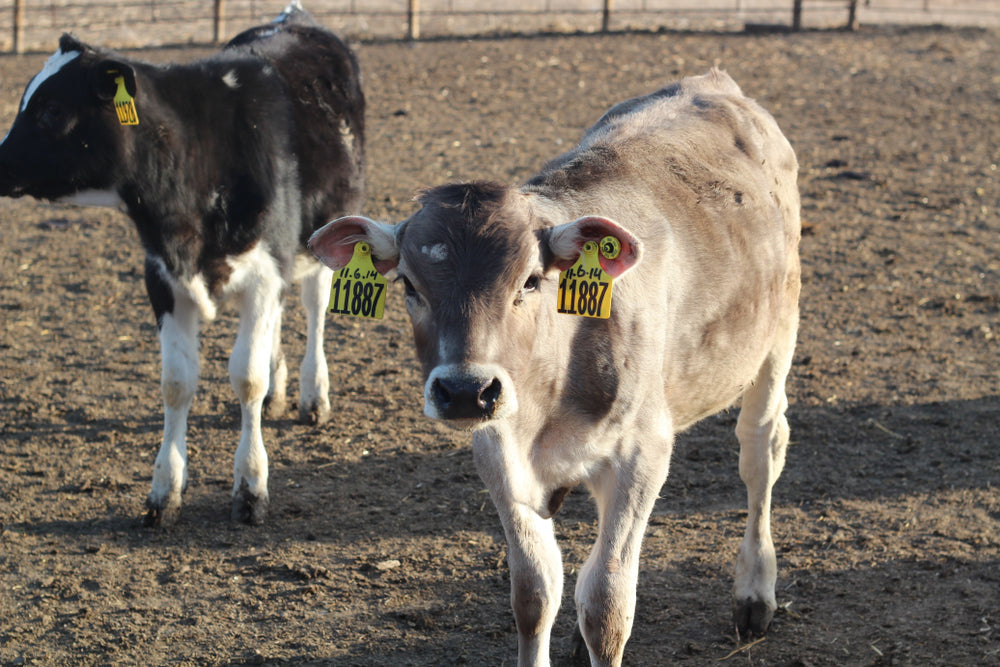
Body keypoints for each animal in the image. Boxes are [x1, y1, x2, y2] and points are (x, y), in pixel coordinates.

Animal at [0, 2, 365, 526]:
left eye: (52, 110)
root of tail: (294, 16)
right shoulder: (162, 279)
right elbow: (176, 383)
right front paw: (164, 490)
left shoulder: (263, 272)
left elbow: (246, 376)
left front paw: (251, 486)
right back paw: (278, 395)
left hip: (325, 238)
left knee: (314, 310)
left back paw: (313, 396)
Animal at [309, 69, 800, 665]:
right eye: (409, 284)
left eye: (529, 280)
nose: (466, 391)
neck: (550, 394)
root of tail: (714, 82)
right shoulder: (496, 452)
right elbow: (536, 591)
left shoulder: (643, 453)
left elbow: (608, 604)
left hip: (776, 337)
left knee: (761, 450)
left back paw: (755, 591)